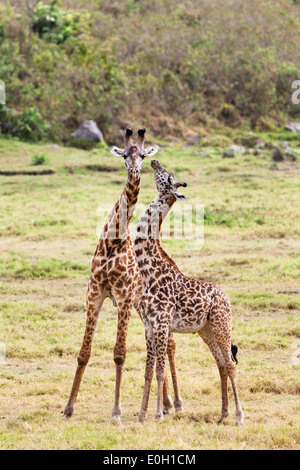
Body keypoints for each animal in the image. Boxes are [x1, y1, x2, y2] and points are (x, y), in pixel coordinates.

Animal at [63, 127, 183, 422]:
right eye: (124, 155)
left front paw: (116, 411)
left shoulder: (124, 298)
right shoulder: (94, 295)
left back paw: (175, 403)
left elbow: (119, 353)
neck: (113, 240)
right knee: (163, 345)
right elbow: (83, 353)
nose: (135, 171)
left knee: (170, 344)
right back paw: (164, 404)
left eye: (142, 154)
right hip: (144, 309)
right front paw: (68, 408)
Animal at [134, 159, 244, 426]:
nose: (154, 161)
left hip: (222, 324)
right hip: (206, 329)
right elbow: (148, 372)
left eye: (168, 176)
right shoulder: (148, 326)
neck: (149, 272)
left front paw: (159, 414)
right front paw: (142, 415)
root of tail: (226, 298)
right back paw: (222, 414)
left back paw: (239, 416)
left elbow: (160, 370)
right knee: (221, 363)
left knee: (231, 364)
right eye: (163, 171)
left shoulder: (162, 324)